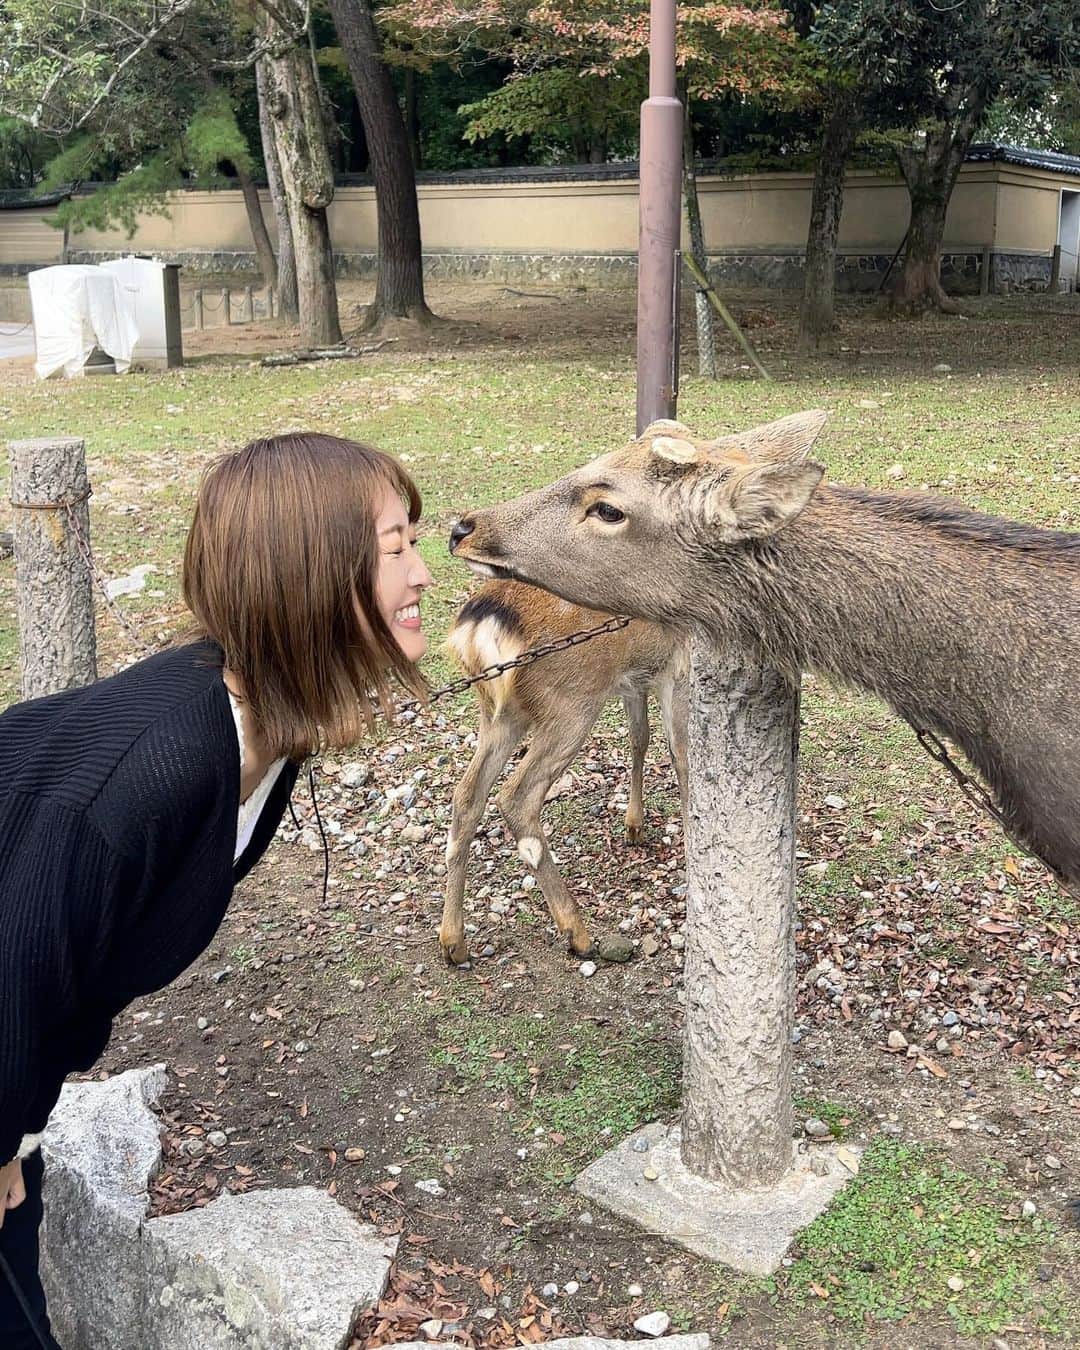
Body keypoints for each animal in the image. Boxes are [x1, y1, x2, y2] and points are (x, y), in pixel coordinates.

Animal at [439, 579, 688, 965]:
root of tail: (479, 624)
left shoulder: (635, 676)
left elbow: (640, 737)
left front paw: (634, 826)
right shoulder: (679, 666)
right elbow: (681, 755)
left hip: (498, 712)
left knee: (466, 795)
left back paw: (453, 942)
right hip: (571, 703)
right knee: (516, 796)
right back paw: (578, 933)